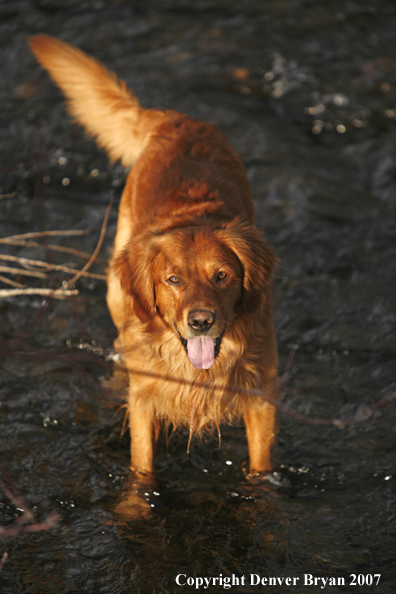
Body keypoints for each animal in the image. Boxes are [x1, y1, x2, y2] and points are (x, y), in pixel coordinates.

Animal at [30, 34, 278, 480]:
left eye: (222, 276)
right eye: (173, 280)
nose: (201, 322)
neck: (198, 371)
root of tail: (175, 119)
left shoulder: (262, 396)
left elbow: (260, 464)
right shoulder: (145, 399)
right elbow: (141, 463)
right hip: (116, 293)